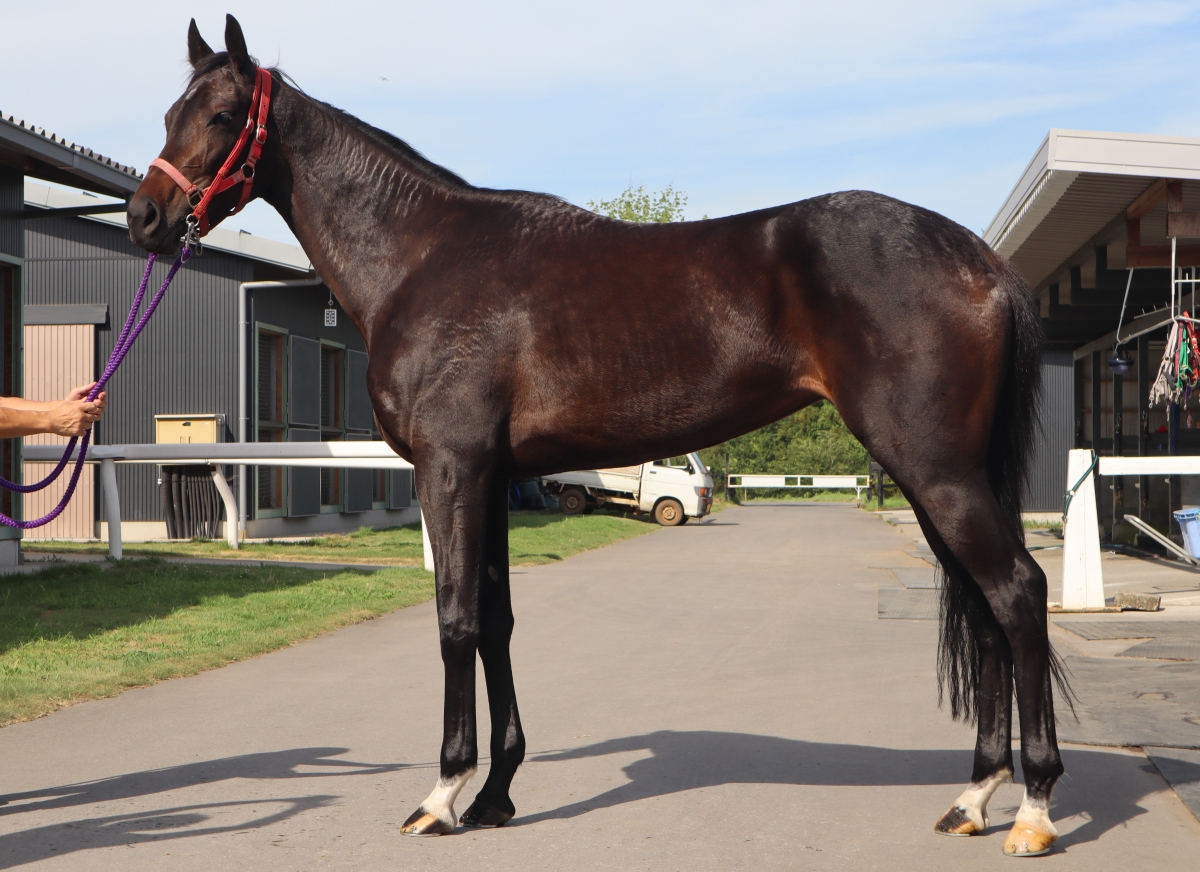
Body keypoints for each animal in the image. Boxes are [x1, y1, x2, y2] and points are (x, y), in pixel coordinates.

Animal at [127, 15, 1070, 857]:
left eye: (221, 115)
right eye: (169, 112)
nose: (144, 217)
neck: (422, 257)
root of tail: (978, 259)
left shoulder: (451, 468)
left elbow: (456, 619)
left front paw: (442, 796)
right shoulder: (491, 477)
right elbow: (498, 621)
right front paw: (498, 794)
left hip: (936, 469)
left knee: (1017, 592)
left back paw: (1032, 809)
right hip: (933, 477)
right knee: (985, 607)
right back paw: (973, 799)